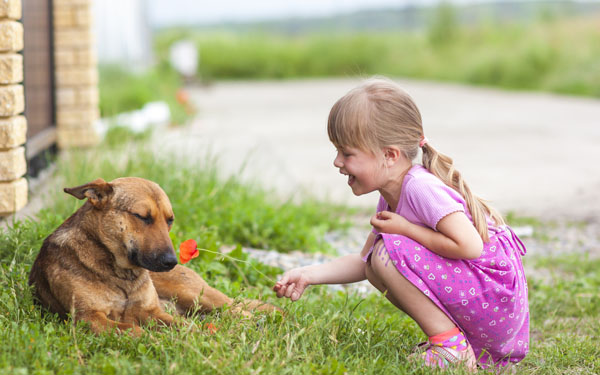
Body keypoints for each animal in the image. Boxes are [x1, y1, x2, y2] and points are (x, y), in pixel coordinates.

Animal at [29, 178, 278, 336]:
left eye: (170, 220)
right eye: (142, 216)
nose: (171, 262)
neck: (121, 274)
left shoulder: (151, 311)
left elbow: (185, 326)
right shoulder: (87, 317)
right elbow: (132, 330)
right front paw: (152, 339)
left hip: (197, 295)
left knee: (239, 309)